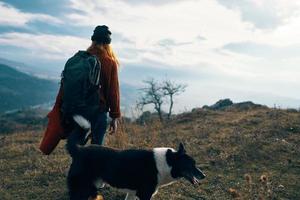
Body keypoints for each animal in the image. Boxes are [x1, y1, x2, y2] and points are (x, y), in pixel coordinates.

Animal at [66, 115, 205, 200]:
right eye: (190, 165)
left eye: (195, 163)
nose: (204, 176)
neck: (167, 162)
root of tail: (79, 149)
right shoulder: (144, 194)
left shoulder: (132, 194)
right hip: (81, 187)